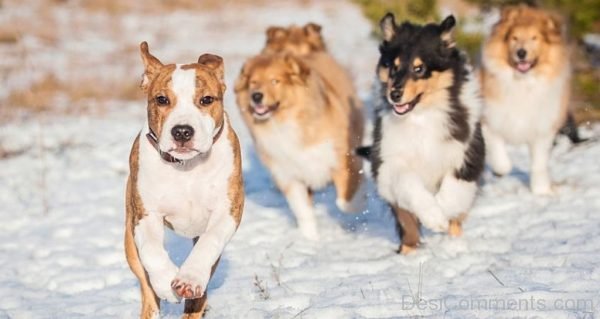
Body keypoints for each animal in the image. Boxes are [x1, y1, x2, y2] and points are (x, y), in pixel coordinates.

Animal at [124, 43, 244, 319]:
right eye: (162, 99)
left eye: (206, 100)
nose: (182, 131)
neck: (186, 167)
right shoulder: (145, 215)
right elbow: (152, 251)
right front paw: (165, 281)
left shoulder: (228, 210)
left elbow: (210, 241)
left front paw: (189, 279)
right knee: (146, 285)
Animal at [234, 52, 366, 241]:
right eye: (253, 83)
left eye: (275, 81)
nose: (256, 96)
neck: (285, 122)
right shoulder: (289, 176)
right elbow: (303, 211)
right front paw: (309, 239)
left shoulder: (341, 158)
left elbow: (344, 200)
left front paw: (359, 203)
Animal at [480, 5, 568, 195]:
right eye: (514, 38)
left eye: (535, 38)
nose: (521, 53)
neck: (523, 82)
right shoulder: (489, 119)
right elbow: (497, 148)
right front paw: (501, 169)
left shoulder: (543, 128)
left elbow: (539, 162)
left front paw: (541, 191)